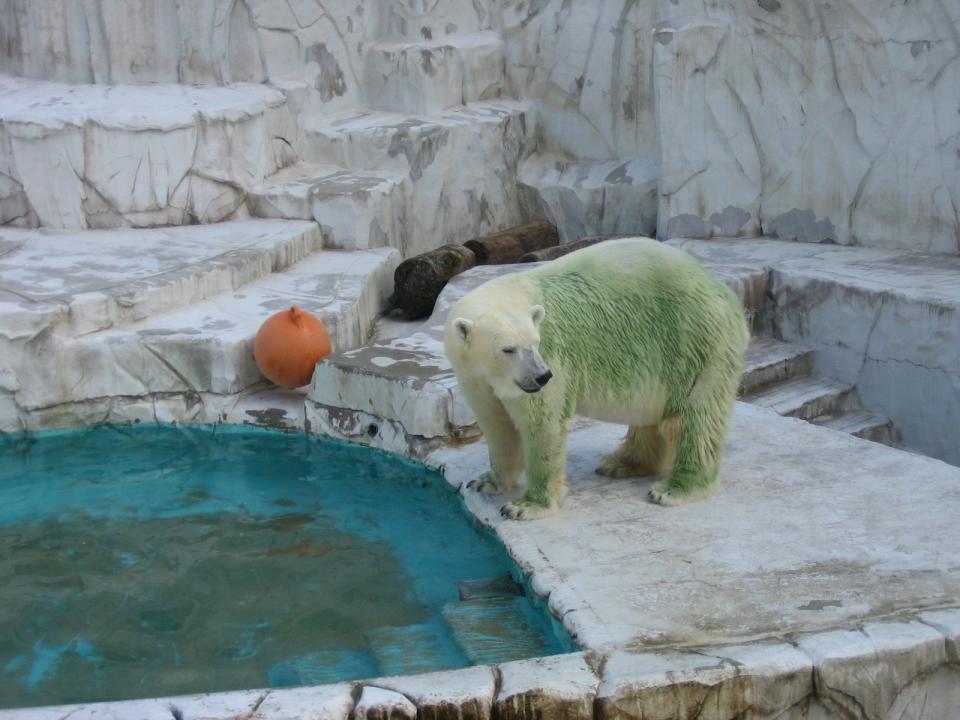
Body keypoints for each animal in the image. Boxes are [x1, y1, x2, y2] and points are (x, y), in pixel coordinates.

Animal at [442, 239, 752, 520]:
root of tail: (723, 291)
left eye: (536, 342)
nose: (543, 376)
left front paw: (525, 507)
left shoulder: (553, 355)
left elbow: (542, 424)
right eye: (508, 349)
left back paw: (673, 488)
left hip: (693, 341)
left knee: (694, 417)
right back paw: (621, 463)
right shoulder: (474, 377)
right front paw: (486, 482)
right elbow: (497, 426)